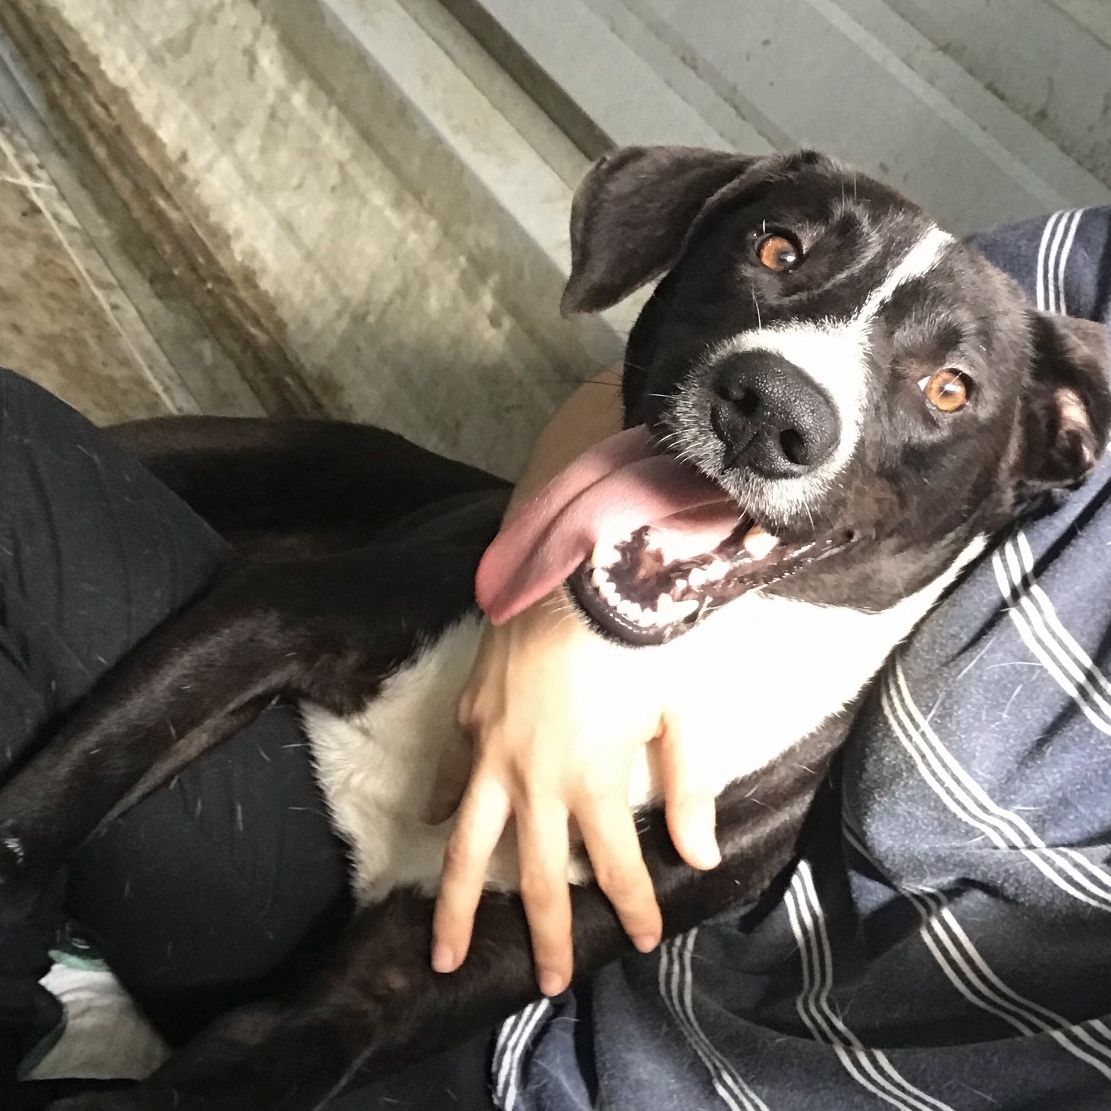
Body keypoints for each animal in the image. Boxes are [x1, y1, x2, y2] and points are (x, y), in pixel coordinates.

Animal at [2, 147, 1111, 1111]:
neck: (602, 674)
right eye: (777, 248)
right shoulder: (265, 620)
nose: (767, 409)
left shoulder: (442, 967)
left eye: (948, 387)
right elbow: (43, 810)